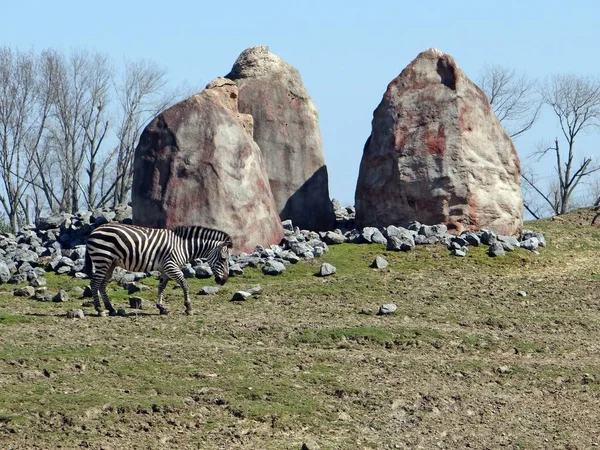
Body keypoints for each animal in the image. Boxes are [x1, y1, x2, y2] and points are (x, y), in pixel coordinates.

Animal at [84, 222, 232, 316]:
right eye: (223, 259)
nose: (224, 280)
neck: (183, 246)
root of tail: (95, 230)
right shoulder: (171, 266)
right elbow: (184, 284)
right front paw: (188, 308)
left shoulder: (165, 269)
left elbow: (161, 287)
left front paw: (161, 308)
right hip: (102, 259)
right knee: (95, 283)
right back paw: (100, 310)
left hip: (110, 263)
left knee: (102, 285)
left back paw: (111, 309)